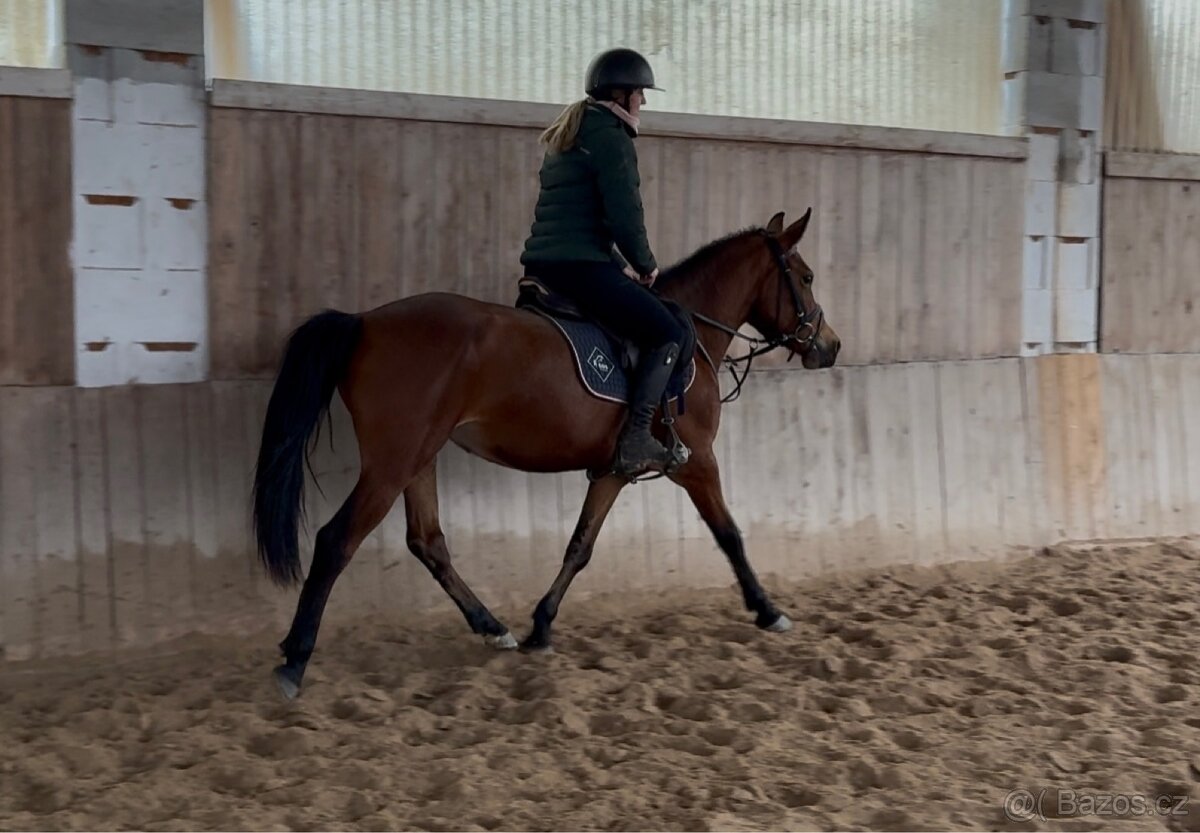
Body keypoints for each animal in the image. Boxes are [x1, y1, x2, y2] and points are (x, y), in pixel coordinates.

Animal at [252, 208, 840, 699]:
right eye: (807, 276)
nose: (830, 346)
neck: (690, 334)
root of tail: (364, 322)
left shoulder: (614, 471)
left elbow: (579, 547)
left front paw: (541, 626)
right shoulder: (696, 461)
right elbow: (730, 534)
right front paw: (767, 609)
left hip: (418, 457)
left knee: (428, 542)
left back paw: (493, 628)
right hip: (392, 462)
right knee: (336, 542)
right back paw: (295, 660)